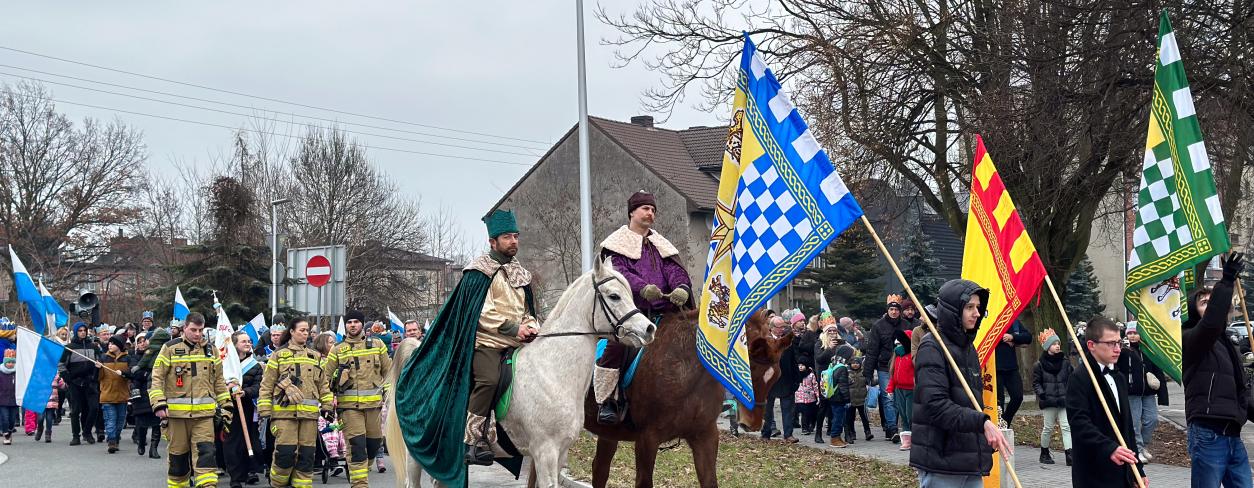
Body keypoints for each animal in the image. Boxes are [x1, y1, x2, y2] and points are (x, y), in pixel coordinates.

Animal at [386, 257, 662, 484]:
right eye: (614, 296)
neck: (552, 372)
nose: (649, 329)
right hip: (416, 455)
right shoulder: (545, 451)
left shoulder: (560, 452)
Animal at [579, 309, 792, 484]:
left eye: (777, 376)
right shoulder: (647, 439)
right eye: (749, 370)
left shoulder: (705, 435)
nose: (753, 423)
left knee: (599, 470)